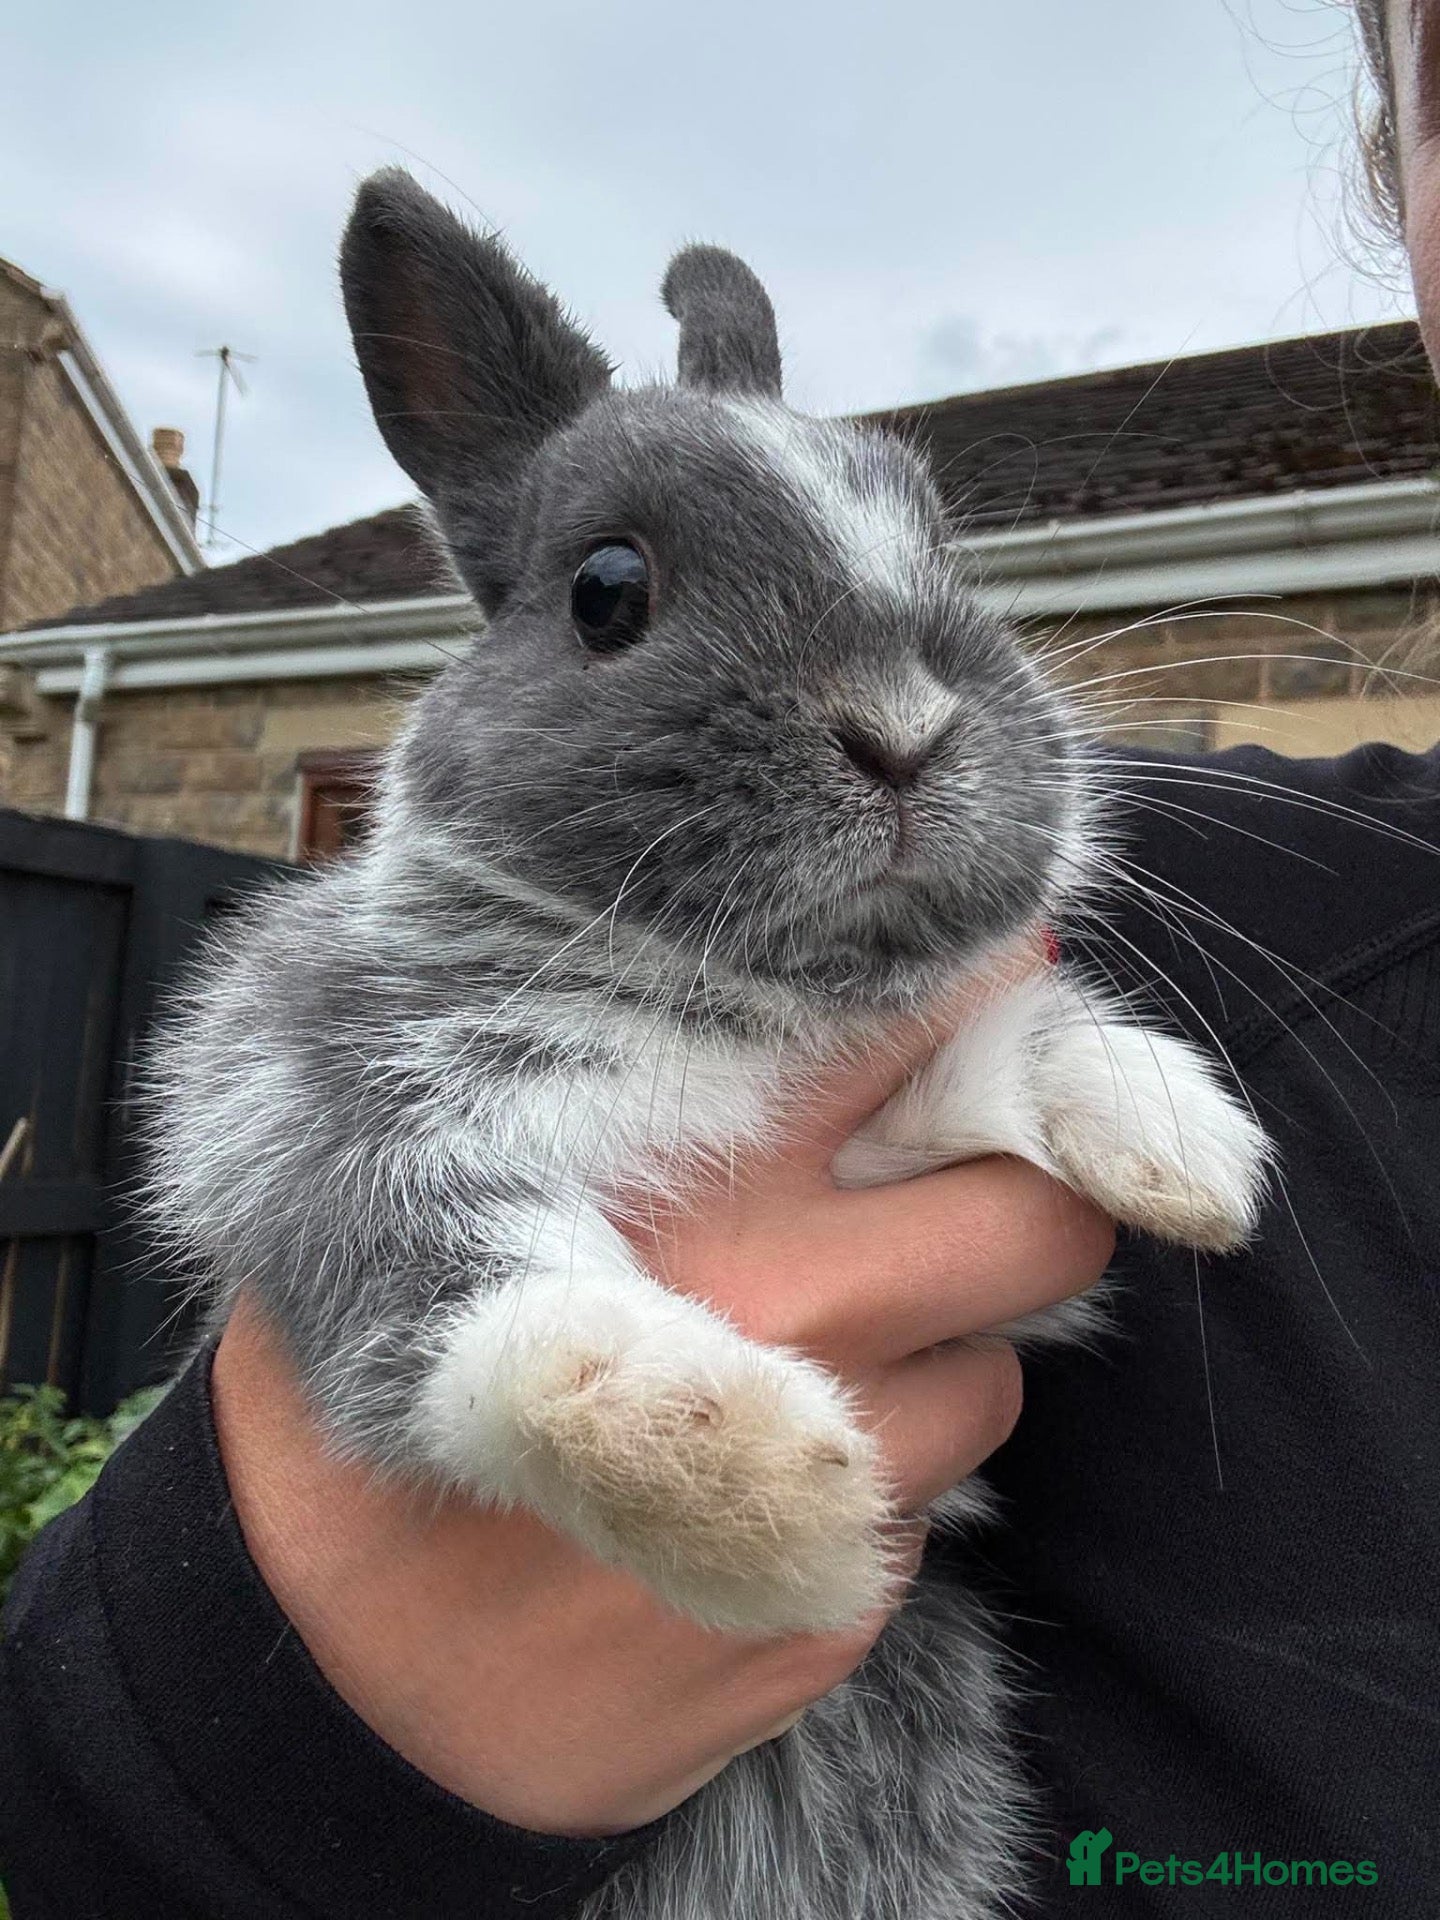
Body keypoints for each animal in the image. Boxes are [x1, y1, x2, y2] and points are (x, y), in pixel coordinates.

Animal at [146, 169, 1270, 1920]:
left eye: (940, 544)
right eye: (608, 589)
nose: (905, 728)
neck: (737, 993)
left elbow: (996, 1058)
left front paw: (1182, 1142)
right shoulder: (315, 1110)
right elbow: (476, 1294)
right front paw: (758, 1489)